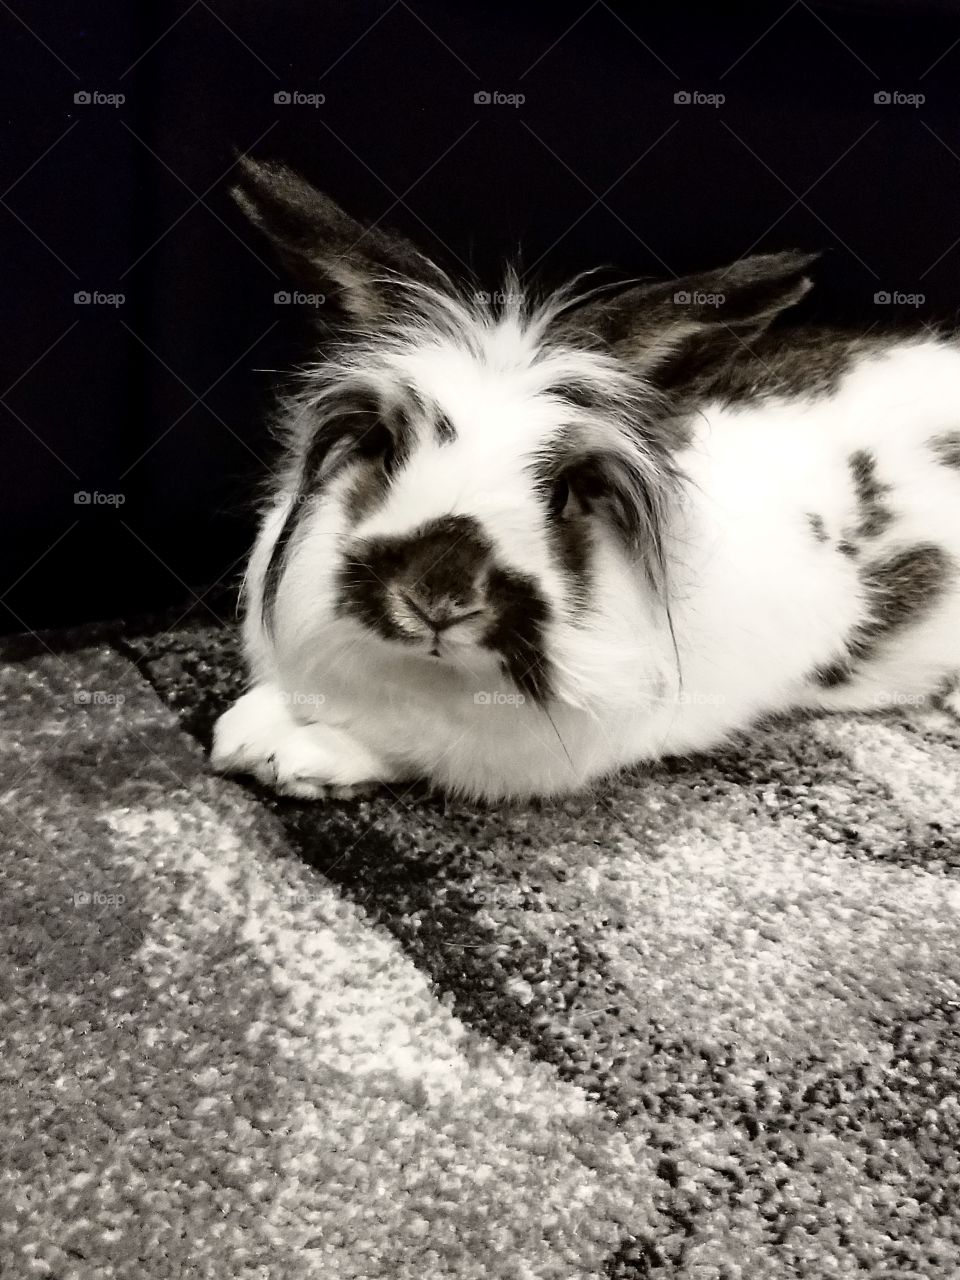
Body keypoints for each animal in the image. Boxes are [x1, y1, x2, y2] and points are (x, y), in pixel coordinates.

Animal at [211, 156, 960, 802]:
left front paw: (296, 751)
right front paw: (250, 728)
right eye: (385, 447)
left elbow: (417, 746)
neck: (433, 672)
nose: (437, 597)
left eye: (564, 489)